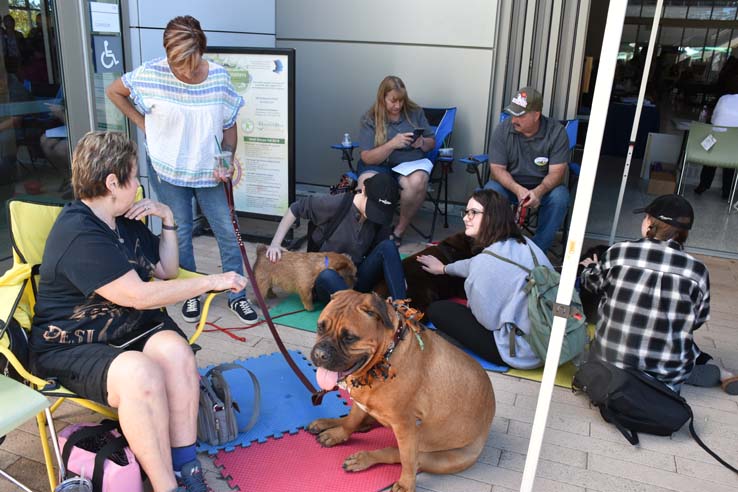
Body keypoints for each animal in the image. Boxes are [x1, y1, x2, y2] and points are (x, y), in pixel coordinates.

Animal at [304, 292, 494, 492]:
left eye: (349, 338)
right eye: (320, 327)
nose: (320, 354)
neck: (385, 357)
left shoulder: (406, 426)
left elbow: (407, 460)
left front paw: (406, 483)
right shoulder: (361, 403)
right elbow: (350, 421)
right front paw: (337, 435)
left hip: (441, 458)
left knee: (400, 455)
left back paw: (363, 459)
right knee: (360, 422)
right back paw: (326, 424)